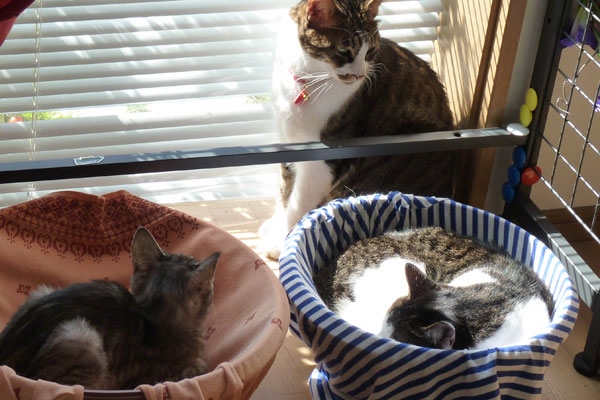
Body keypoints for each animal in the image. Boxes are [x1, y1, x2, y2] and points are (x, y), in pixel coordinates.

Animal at [259, 0, 456, 259]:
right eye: (344, 50)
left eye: (370, 51)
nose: (360, 75)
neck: (309, 79)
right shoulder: (289, 141)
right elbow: (284, 192)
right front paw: (275, 225)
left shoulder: (322, 163)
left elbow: (297, 203)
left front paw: (281, 241)